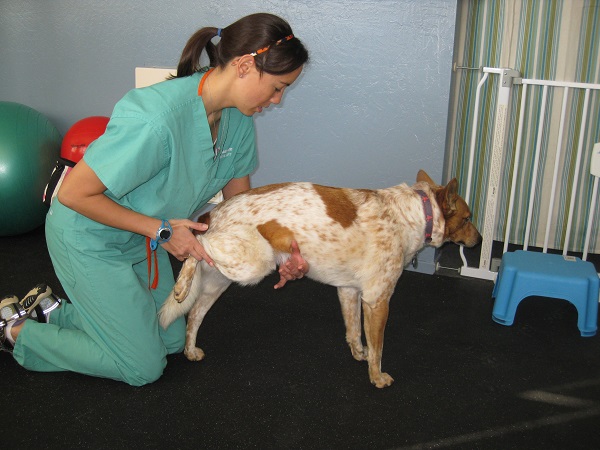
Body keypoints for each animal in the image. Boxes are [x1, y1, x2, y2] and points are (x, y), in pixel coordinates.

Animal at [158, 171, 478, 388]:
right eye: (467, 218)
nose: (480, 239)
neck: (411, 215)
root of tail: (214, 212)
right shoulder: (378, 300)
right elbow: (378, 348)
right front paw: (376, 377)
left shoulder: (349, 291)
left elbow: (354, 332)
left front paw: (359, 354)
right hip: (254, 264)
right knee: (197, 242)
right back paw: (182, 274)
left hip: (221, 281)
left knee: (194, 315)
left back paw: (190, 350)